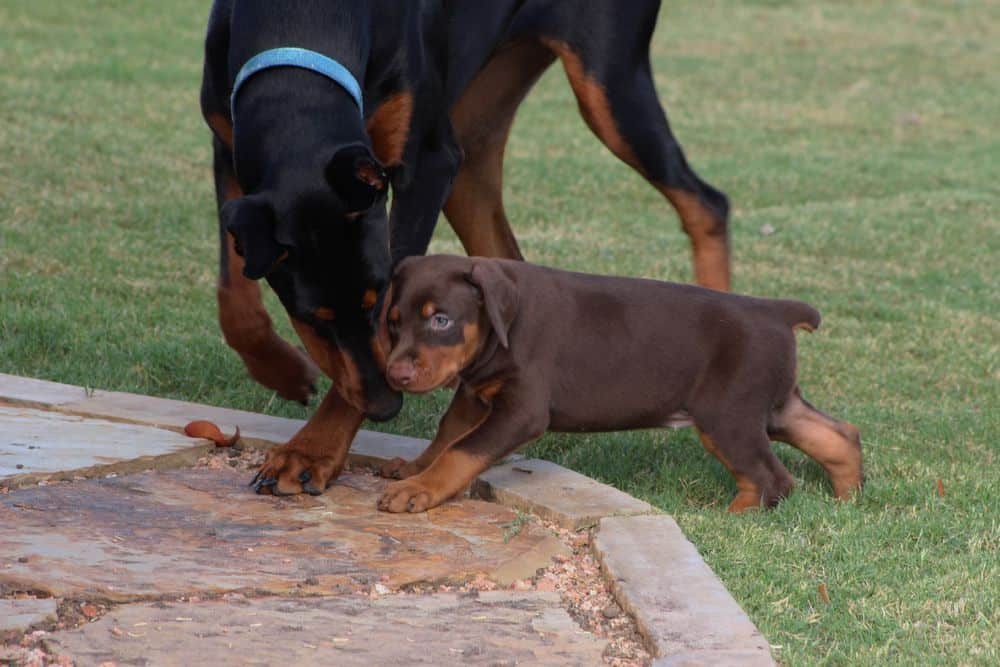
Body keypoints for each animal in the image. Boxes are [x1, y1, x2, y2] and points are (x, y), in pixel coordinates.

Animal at [378, 254, 864, 512]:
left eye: (441, 320)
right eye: (394, 322)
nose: (395, 375)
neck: (502, 329)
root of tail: (776, 311)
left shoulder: (520, 411)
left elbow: (463, 451)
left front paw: (417, 490)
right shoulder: (475, 395)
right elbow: (447, 436)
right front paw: (414, 468)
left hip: (727, 416)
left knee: (772, 478)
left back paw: (734, 514)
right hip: (772, 405)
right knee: (837, 435)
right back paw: (849, 495)